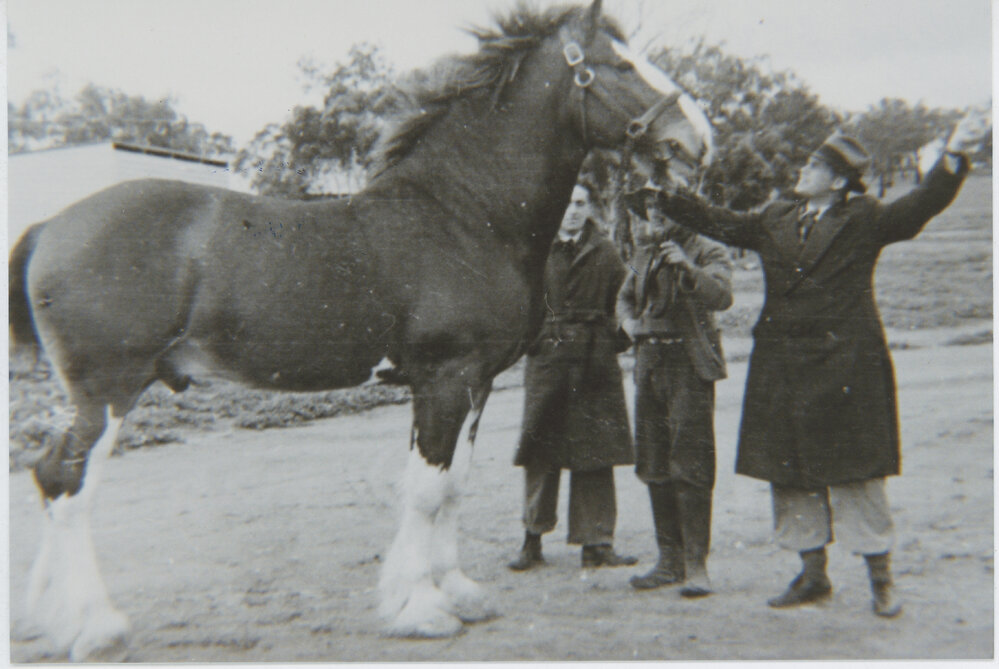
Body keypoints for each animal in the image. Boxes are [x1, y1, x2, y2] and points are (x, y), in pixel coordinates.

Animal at [8, 0, 713, 659]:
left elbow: (452, 485)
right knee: (69, 486)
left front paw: (458, 594)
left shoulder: (476, 384)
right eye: (621, 66)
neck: (464, 215)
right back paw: (97, 629)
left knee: (47, 475)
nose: (699, 141)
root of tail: (51, 227)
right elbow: (426, 491)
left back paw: (54, 618)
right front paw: (422, 610)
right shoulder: (444, 379)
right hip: (109, 390)